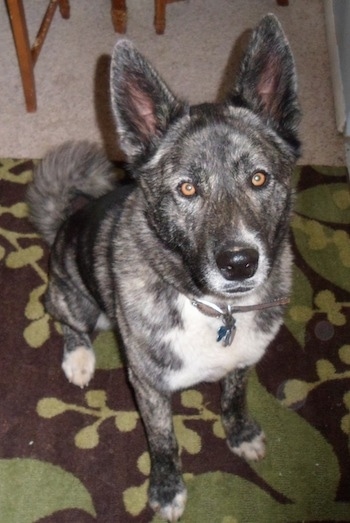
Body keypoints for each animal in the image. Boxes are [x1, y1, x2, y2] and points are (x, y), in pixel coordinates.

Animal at [27, 14, 300, 520]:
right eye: (187, 188)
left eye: (259, 178)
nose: (239, 263)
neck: (216, 310)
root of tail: (65, 222)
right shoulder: (149, 387)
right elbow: (164, 441)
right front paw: (167, 490)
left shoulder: (243, 361)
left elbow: (234, 396)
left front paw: (241, 434)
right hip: (76, 299)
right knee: (68, 322)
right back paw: (79, 360)